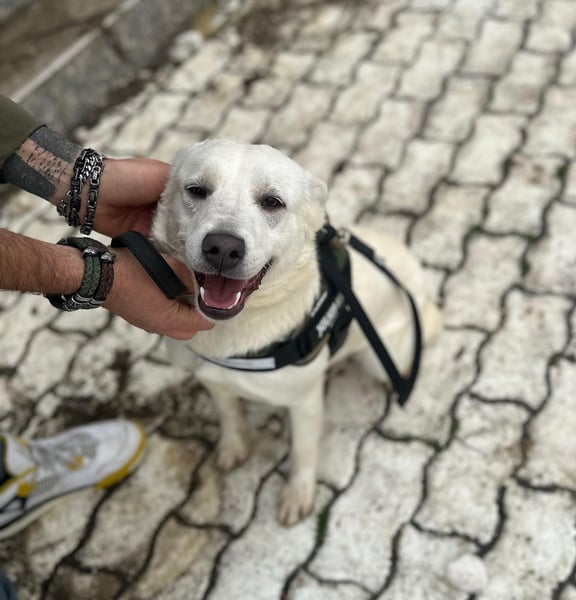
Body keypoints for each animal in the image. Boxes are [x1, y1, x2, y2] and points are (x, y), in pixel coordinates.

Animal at [151, 139, 442, 526]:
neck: (234, 332)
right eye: (196, 190)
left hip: (380, 355)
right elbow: (230, 416)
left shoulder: (304, 402)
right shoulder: (214, 382)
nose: (223, 248)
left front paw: (298, 495)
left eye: (272, 201)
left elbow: (303, 451)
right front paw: (234, 446)